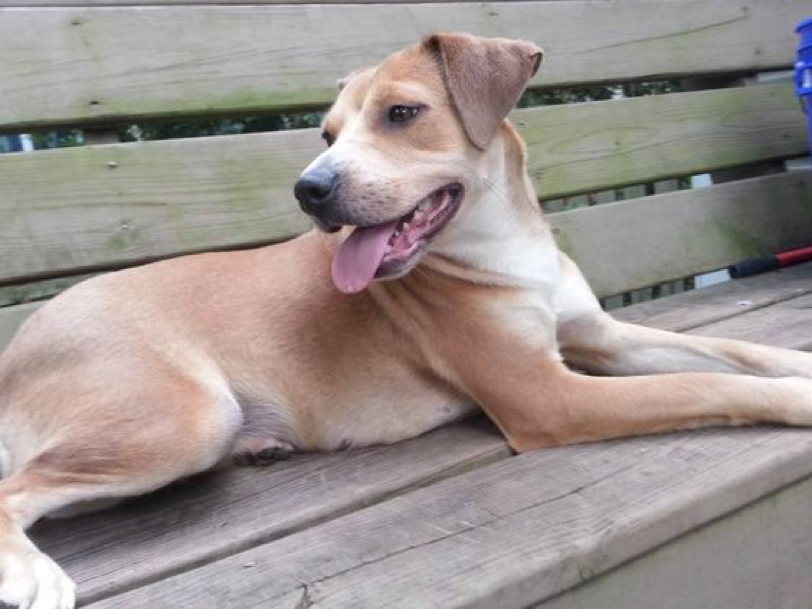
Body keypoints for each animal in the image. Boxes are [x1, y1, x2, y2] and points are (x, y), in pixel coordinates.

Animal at [1, 34, 812, 608]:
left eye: (402, 113)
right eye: (326, 135)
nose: (309, 189)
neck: (505, 243)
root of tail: (16, 345)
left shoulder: (601, 337)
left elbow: (730, 352)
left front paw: (797, 369)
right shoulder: (548, 395)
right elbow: (706, 386)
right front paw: (797, 402)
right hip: (183, 416)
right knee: (15, 489)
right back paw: (32, 573)